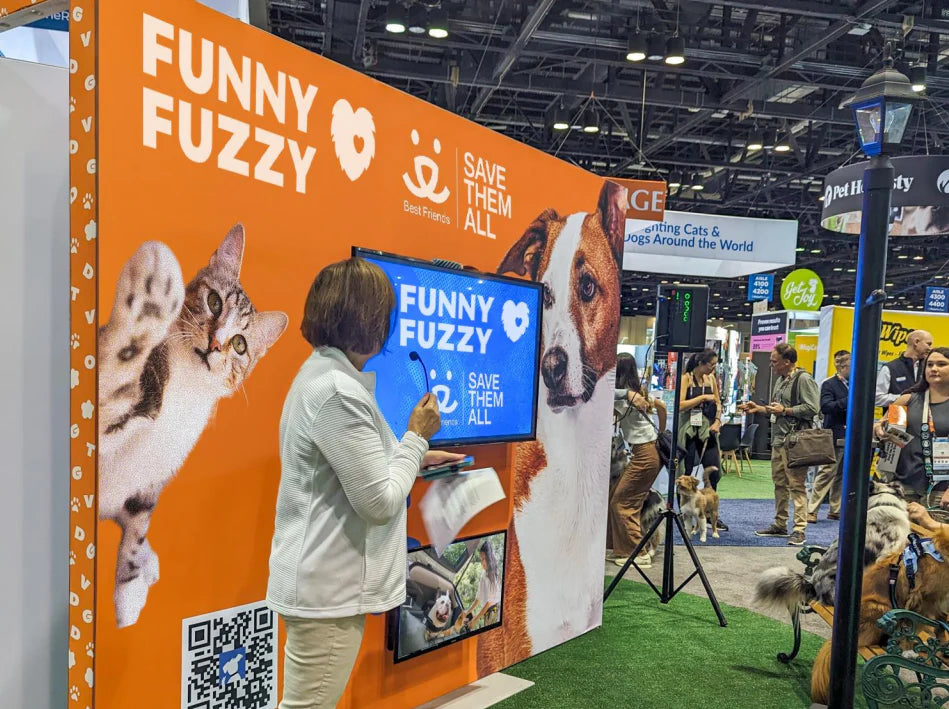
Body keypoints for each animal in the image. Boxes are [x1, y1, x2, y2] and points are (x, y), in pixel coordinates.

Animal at [98, 224, 288, 628]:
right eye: (214, 302)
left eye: (240, 345)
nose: (215, 343)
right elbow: (120, 374)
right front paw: (152, 296)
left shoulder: (154, 476)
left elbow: (138, 521)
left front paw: (129, 587)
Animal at [811, 524, 949, 704]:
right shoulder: (922, 600)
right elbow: (911, 626)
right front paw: (908, 650)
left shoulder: (940, 601)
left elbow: (940, 625)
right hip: (881, 607)